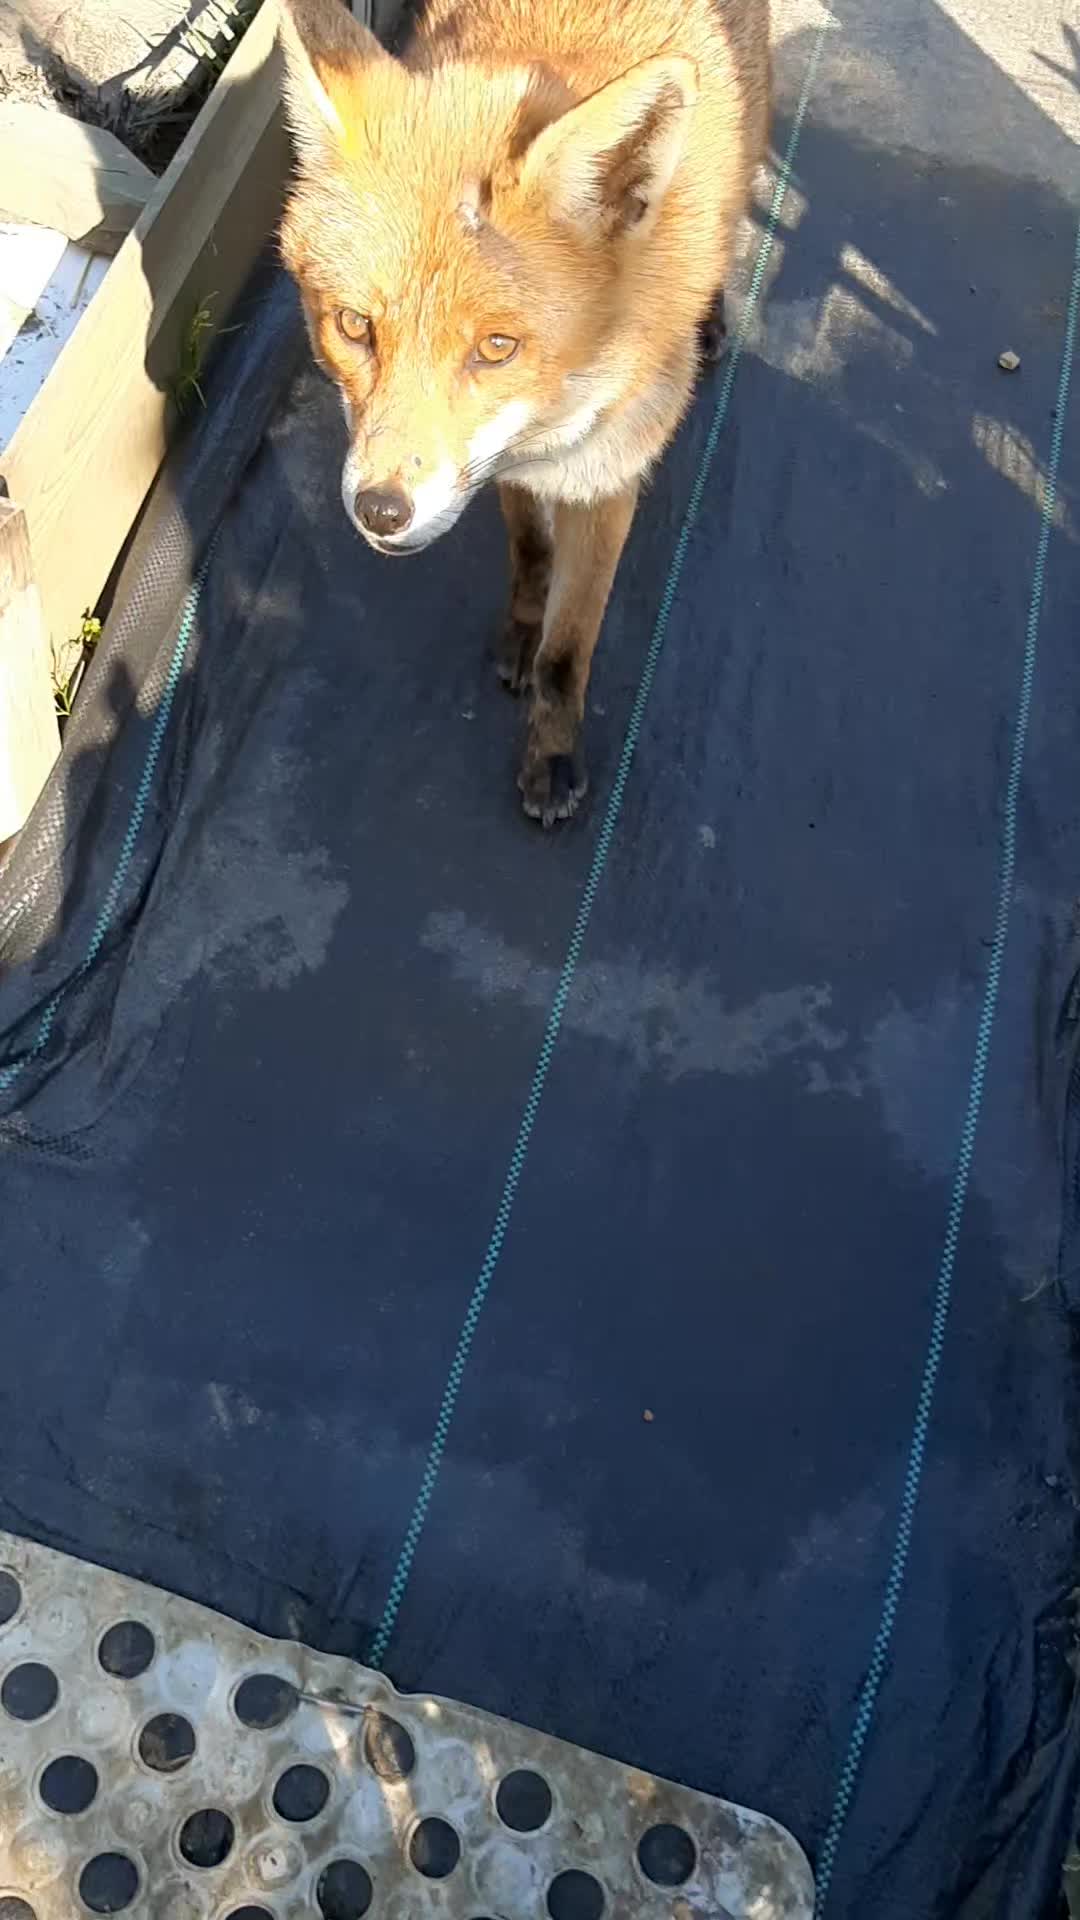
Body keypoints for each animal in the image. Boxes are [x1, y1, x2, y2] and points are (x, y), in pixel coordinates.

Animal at [278, 0, 770, 825]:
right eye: (352, 327)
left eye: (497, 348)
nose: (381, 510)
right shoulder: (503, 464)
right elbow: (530, 551)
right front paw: (520, 630)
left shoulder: (607, 478)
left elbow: (570, 647)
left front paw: (554, 750)